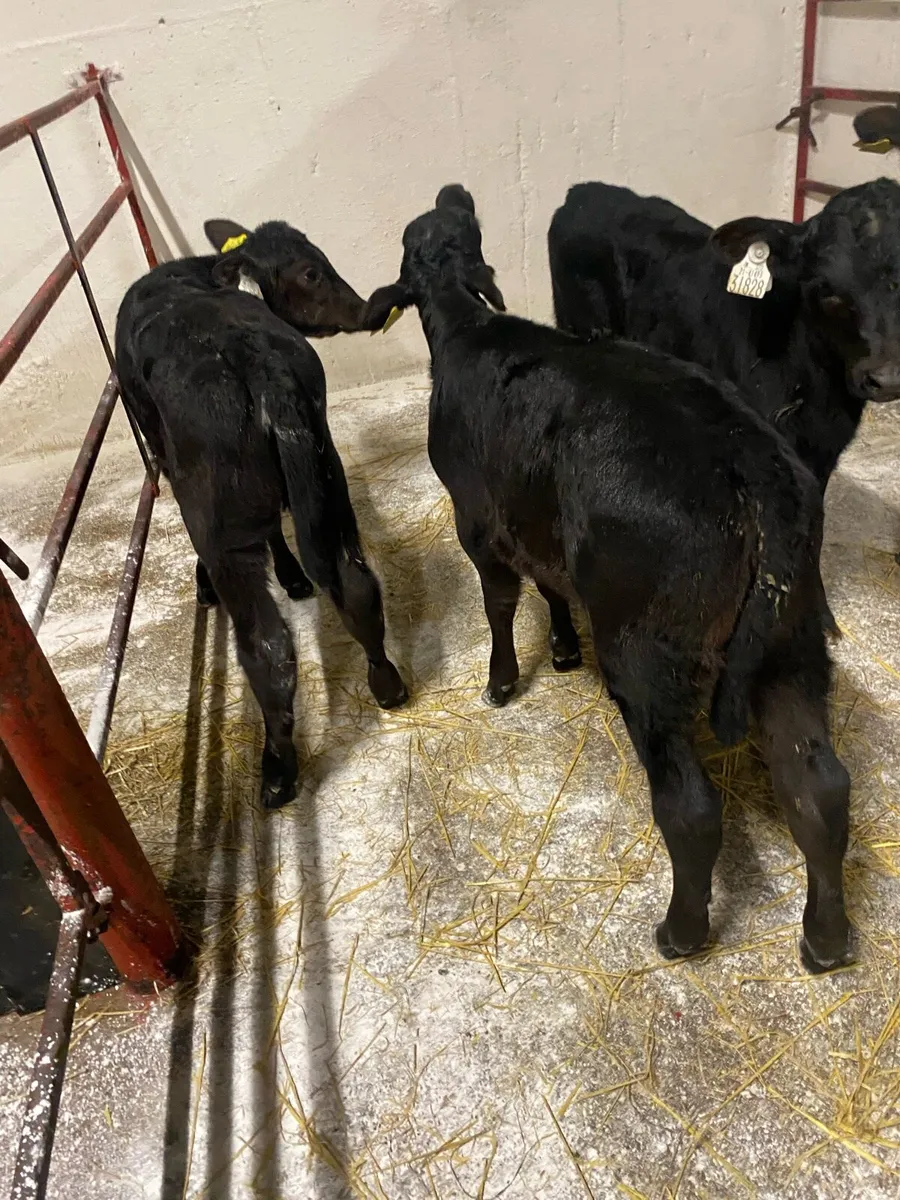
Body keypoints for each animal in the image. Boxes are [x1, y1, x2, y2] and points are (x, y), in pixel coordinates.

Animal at [116, 219, 407, 809]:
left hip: (220, 521)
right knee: (354, 584)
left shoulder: (162, 448)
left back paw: (276, 771)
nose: (364, 308)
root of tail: (257, 361)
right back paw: (387, 683)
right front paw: (293, 577)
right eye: (311, 271)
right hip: (326, 472)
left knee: (267, 646)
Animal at [363, 184, 853, 973]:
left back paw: (680, 930)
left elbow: (500, 602)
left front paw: (502, 680)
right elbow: (549, 584)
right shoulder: (535, 520)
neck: (467, 326)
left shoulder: (477, 519)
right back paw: (827, 939)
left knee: (692, 808)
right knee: (820, 789)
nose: (453, 192)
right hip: (795, 638)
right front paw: (563, 648)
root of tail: (751, 464)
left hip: (647, 656)